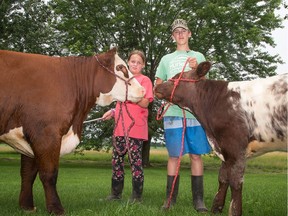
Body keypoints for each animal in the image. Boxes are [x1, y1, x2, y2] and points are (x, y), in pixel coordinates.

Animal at [0, 48, 145, 215]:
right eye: (121, 67)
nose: (143, 90)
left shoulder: (29, 135)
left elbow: (27, 173)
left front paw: (27, 206)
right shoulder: (45, 134)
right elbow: (49, 174)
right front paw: (56, 208)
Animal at [155, 61, 288, 216]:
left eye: (177, 77)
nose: (156, 86)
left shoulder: (235, 147)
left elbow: (235, 182)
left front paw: (235, 211)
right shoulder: (224, 148)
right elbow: (223, 178)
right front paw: (216, 209)